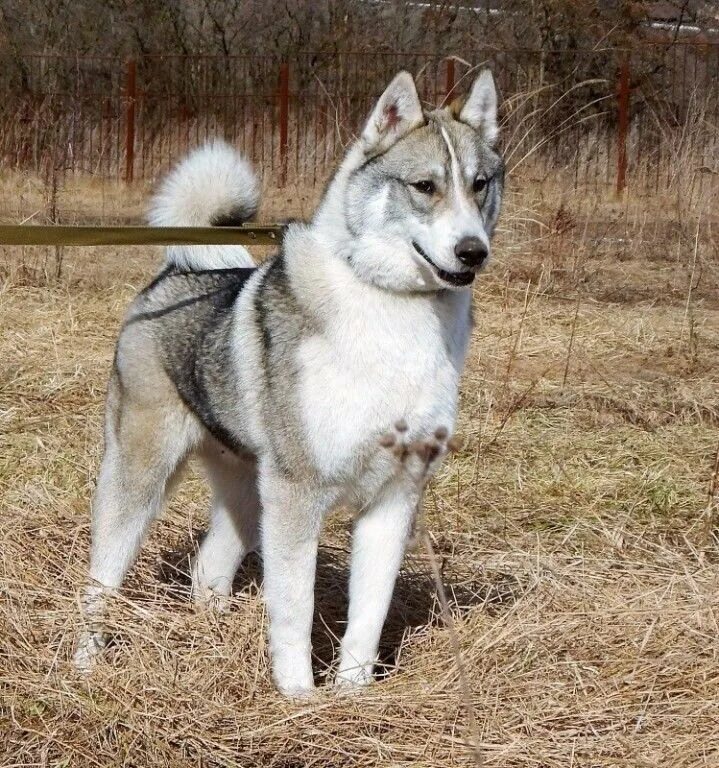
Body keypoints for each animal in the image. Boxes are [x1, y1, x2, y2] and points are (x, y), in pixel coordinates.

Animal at [76, 70, 506, 696]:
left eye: (480, 185)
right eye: (424, 186)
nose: (473, 251)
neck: (395, 308)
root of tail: (177, 272)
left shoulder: (394, 501)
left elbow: (369, 615)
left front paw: (351, 695)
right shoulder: (298, 496)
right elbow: (295, 609)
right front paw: (299, 697)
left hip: (247, 493)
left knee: (209, 568)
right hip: (140, 481)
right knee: (100, 583)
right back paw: (85, 663)